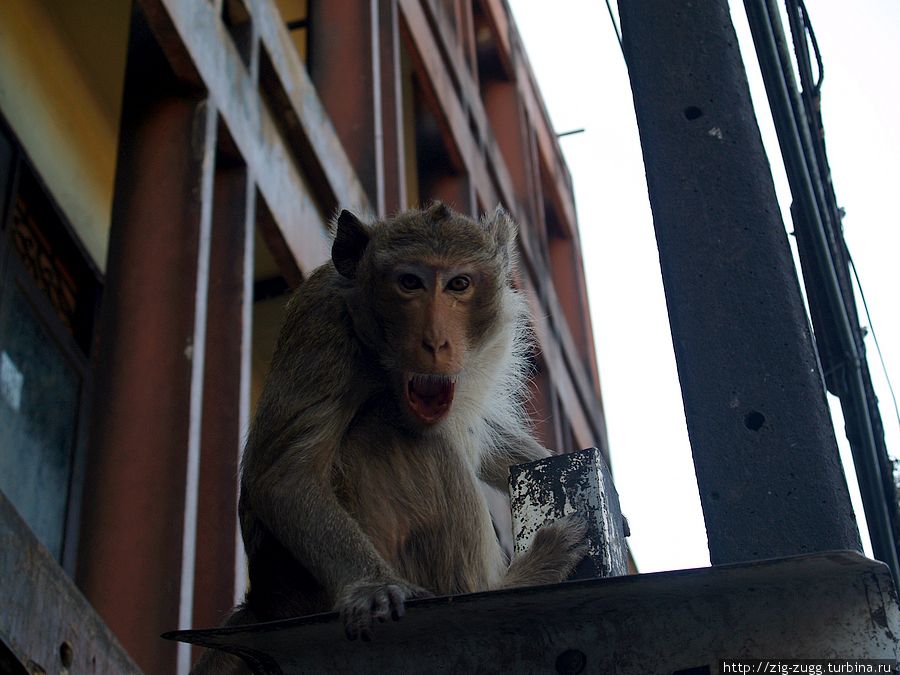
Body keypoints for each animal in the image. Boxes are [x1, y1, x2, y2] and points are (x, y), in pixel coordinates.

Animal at [192, 203, 588, 672]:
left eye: (458, 284)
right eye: (409, 283)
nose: (435, 342)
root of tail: (265, 602)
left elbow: (485, 433)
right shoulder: (322, 321)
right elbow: (284, 474)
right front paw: (372, 587)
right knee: (414, 439)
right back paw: (510, 583)